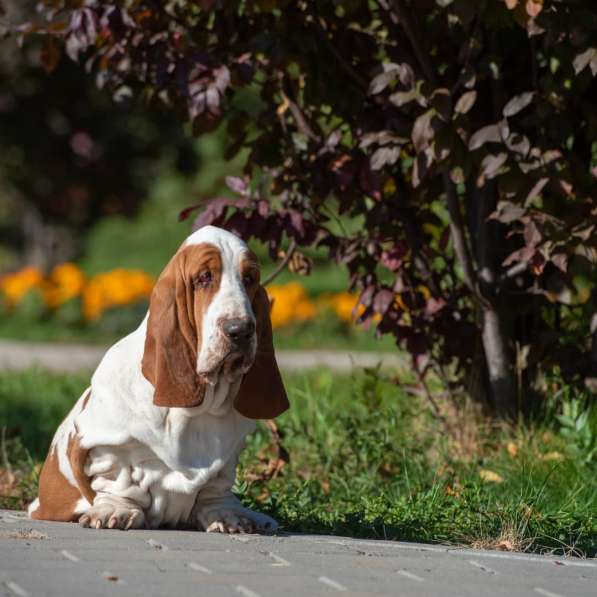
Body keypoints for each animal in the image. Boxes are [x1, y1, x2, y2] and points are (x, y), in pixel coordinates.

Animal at [28, 225, 288, 532]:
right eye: (204, 277)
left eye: (249, 279)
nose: (240, 330)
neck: (198, 408)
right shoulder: (103, 446)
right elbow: (116, 480)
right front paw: (115, 510)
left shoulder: (227, 462)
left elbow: (216, 489)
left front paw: (226, 515)